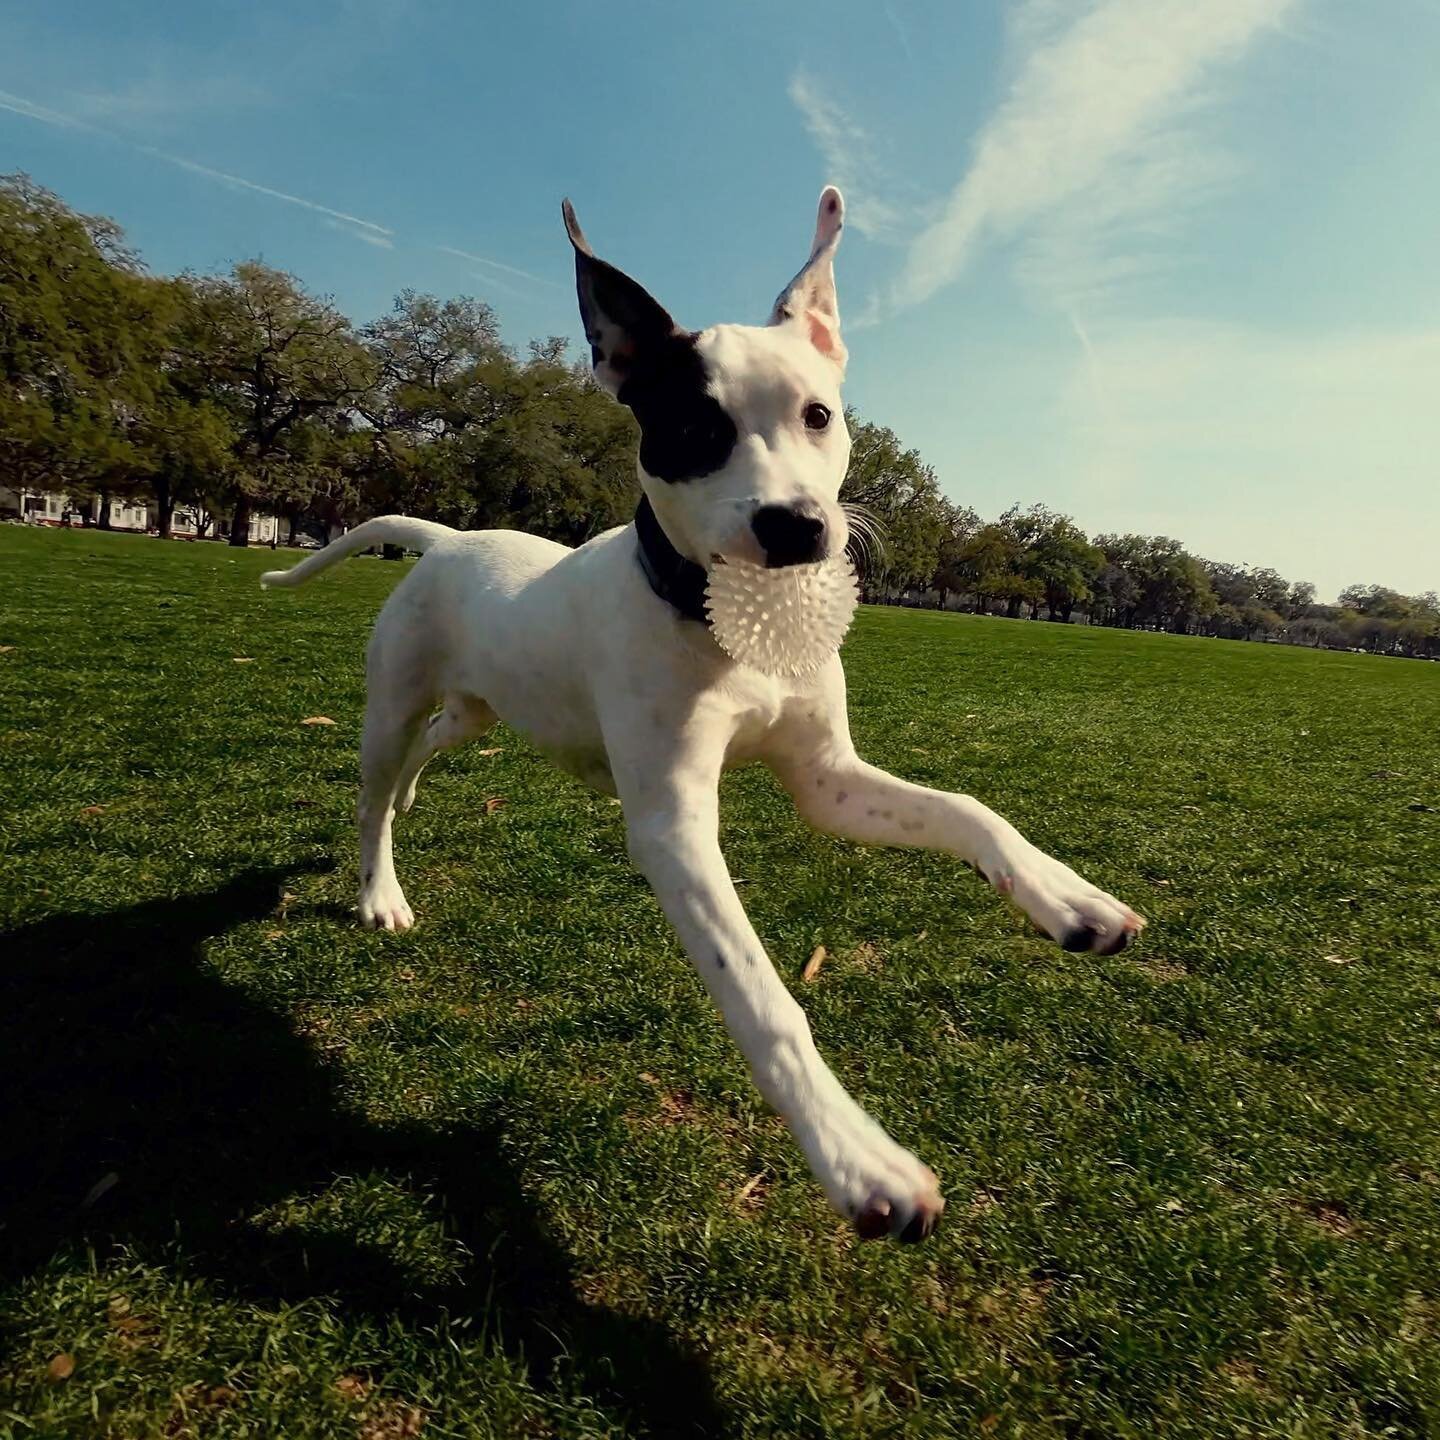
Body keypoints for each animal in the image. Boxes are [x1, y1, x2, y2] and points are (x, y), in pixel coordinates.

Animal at [262, 188, 1146, 1249]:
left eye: (818, 415)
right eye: (693, 427)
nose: (796, 525)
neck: (731, 626)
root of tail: (445, 538)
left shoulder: (828, 782)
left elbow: (971, 809)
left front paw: (1072, 899)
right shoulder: (674, 831)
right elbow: (764, 996)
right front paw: (860, 1160)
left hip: (479, 707)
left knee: (431, 753)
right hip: (391, 703)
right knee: (372, 796)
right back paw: (379, 890)